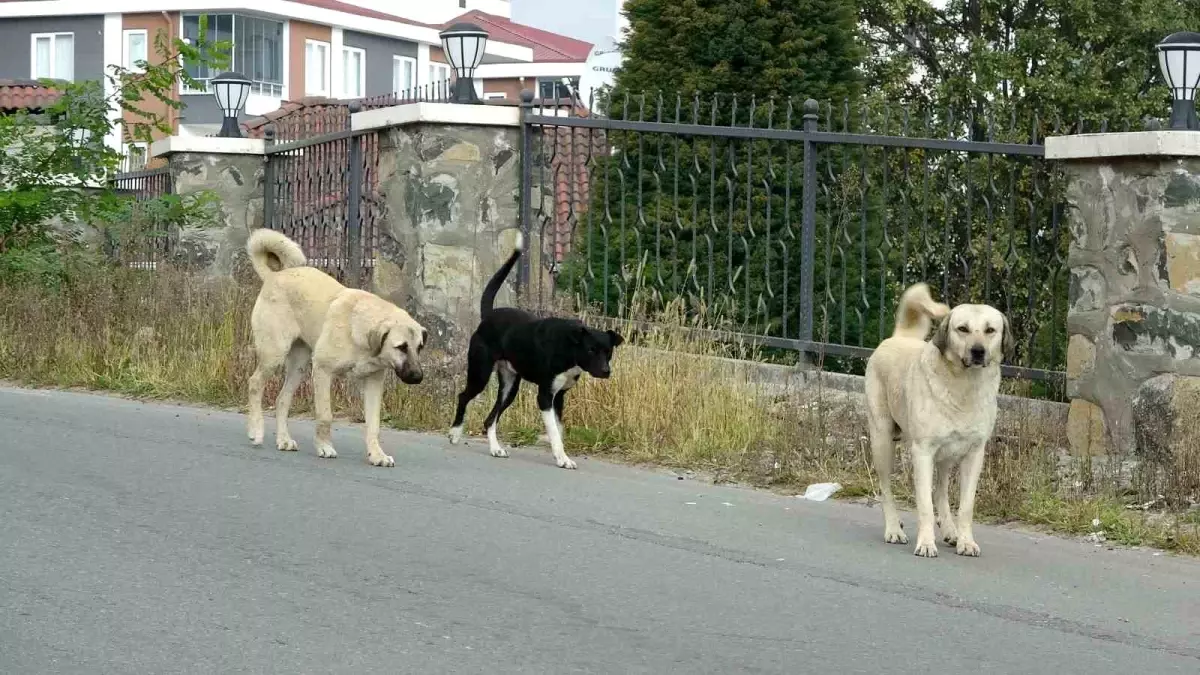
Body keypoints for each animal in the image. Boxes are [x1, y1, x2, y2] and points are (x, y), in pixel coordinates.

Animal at [243, 228, 427, 466]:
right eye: (401, 347)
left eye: (419, 347)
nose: (418, 377)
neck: (360, 331)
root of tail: (274, 276)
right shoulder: (323, 371)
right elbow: (325, 416)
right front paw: (324, 447)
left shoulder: (373, 383)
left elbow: (374, 424)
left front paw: (377, 454)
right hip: (274, 355)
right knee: (255, 384)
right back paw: (256, 431)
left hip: (299, 366)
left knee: (282, 399)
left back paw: (283, 439)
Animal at [448, 230, 624, 468]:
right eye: (591, 350)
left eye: (608, 352)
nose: (606, 371)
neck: (568, 348)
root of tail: (488, 316)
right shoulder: (545, 397)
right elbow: (554, 432)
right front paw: (563, 458)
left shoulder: (559, 398)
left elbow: (559, 430)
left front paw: (560, 454)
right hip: (480, 374)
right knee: (463, 397)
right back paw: (455, 433)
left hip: (509, 387)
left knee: (490, 418)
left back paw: (495, 448)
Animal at [868, 281, 1008, 554]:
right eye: (962, 329)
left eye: (990, 330)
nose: (978, 351)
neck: (964, 387)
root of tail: (900, 337)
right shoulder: (923, 452)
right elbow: (924, 506)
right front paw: (925, 543)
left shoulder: (974, 455)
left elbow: (965, 506)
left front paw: (966, 541)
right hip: (882, 441)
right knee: (886, 489)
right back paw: (894, 529)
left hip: (946, 457)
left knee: (940, 492)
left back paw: (951, 531)